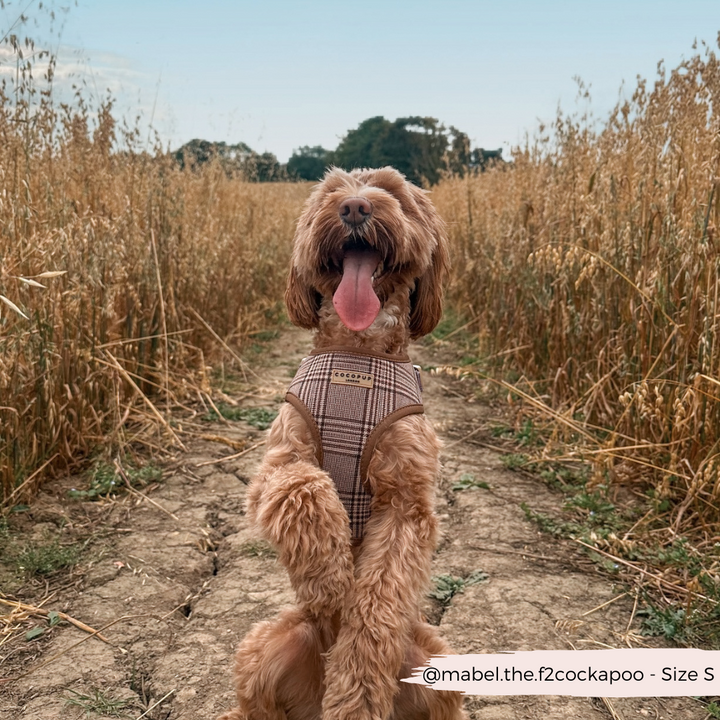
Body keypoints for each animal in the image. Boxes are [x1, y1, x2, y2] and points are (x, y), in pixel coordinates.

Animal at [219, 167, 466, 720]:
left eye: (393, 193)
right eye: (330, 194)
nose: (355, 207)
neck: (357, 354)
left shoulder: (405, 502)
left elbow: (374, 609)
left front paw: (355, 696)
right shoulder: (280, 459)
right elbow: (304, 488)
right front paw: (331, 579)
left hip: (437, 662)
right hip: (263, 646)